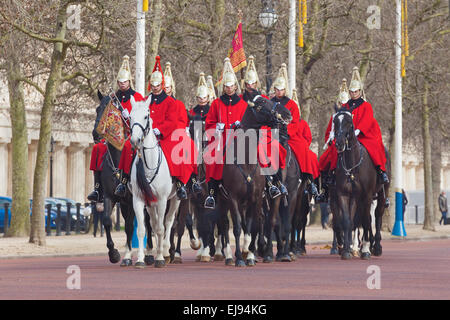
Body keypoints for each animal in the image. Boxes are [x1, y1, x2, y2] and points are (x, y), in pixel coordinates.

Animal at [127, 97, 180, 268]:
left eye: (146, 116)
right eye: (130, 117)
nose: (135, 140)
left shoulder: (162, 200)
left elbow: (161, 228)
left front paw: (160, 258)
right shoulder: (138, 199)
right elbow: (142, 230)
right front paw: (140, 259)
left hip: (176, 198)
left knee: (167, 222)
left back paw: (165, 251)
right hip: (150, 203)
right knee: (154, 222)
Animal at [328, 107, 388, 260]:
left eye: (349, 122)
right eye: (335, 121)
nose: (339, 143)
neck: (352, 165)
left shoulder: (366, 195)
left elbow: (366, 220)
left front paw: (365, 249)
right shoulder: (344, 195)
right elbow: (347, 220)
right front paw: (346, 250)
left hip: (380, 194)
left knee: (377, 216)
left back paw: (376, 247)